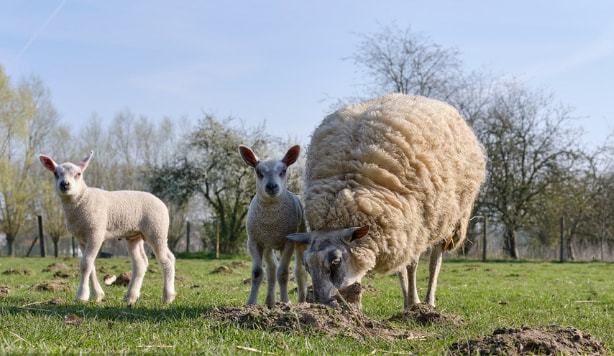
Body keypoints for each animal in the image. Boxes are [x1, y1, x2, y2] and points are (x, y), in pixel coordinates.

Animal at [39, 152, 177, 304]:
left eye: (78, 174)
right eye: (55, 173)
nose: (64, 184)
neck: (82, 200)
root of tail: (162, 203)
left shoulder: (95, 232)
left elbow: (85, 264)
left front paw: (82, 295)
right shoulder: (81, 238)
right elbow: (90, 265)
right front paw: (97, 295)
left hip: (157, 230)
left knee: (167, 260)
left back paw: (168, 296)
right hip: (135, 235)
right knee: (141, 263)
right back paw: (131, 296)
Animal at [239, 145, 308, 306]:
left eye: (283, 171)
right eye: (258, 172)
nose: (271, 186)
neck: (271, 222)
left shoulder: (288, 241)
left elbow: (283, 273)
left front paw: (285, 302)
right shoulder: (254, 241)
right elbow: (257, 273)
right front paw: (251, 303)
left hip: (299, 237)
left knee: (299, 270)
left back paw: (301, 300)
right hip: (267, 245)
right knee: (271, 269)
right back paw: (269, 302)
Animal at [288, 93, 486, 310]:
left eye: (335, 261)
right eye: (307, 265)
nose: (323, 305)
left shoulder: (416, 226)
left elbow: (412, 265)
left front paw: (414, 304)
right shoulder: (397, 225)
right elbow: (401, 268)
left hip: (448, 219)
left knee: (435, 260)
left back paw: (428, 302)